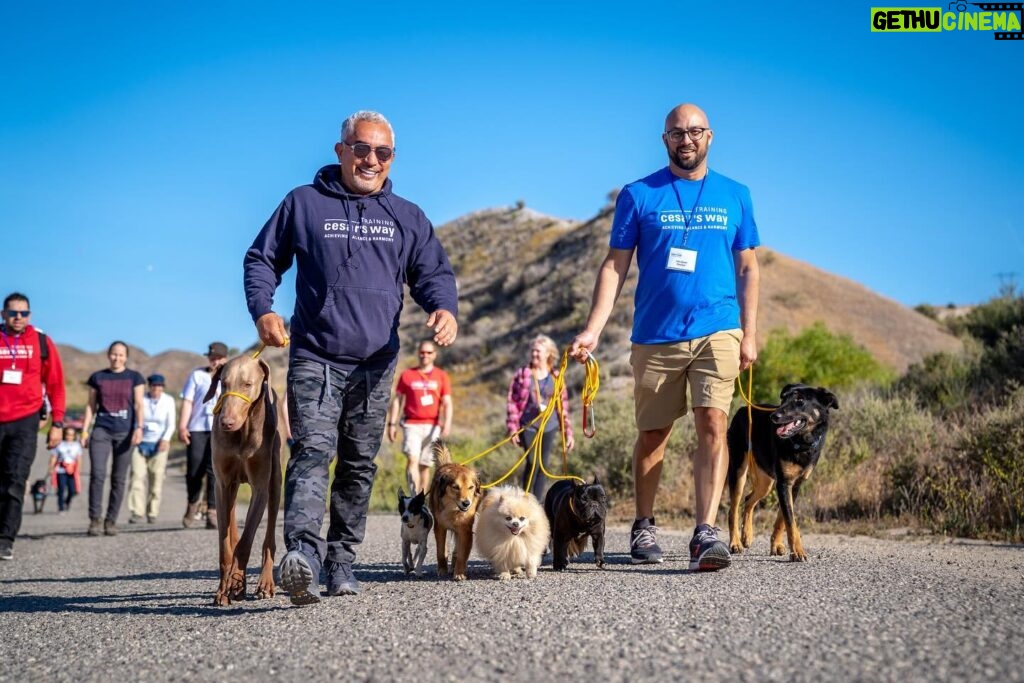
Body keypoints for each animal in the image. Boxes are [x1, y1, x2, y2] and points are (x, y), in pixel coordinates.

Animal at [428, 440, 483, 581]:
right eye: (455, 487)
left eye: (471, 487)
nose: (466, 503)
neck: (453, 510)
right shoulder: (440, 527)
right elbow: (441, 551)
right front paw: (442, 570)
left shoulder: (465, 530)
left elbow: (462, 554)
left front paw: (459, 573)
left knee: (457, 551)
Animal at [724, 382, 835, 565]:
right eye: (783, 399)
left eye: (799, 401)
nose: (774, 417)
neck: (801, 442)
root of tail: (743, 409)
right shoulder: (783, 483)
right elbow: (790, 522)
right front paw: (797, 552)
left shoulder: (794, 485)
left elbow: (782, 519)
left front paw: (776, 545)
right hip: (738, 472)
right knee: (733, 510)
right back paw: (735, 543)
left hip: (766, 483)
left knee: (749, 500)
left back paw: (747, 535)